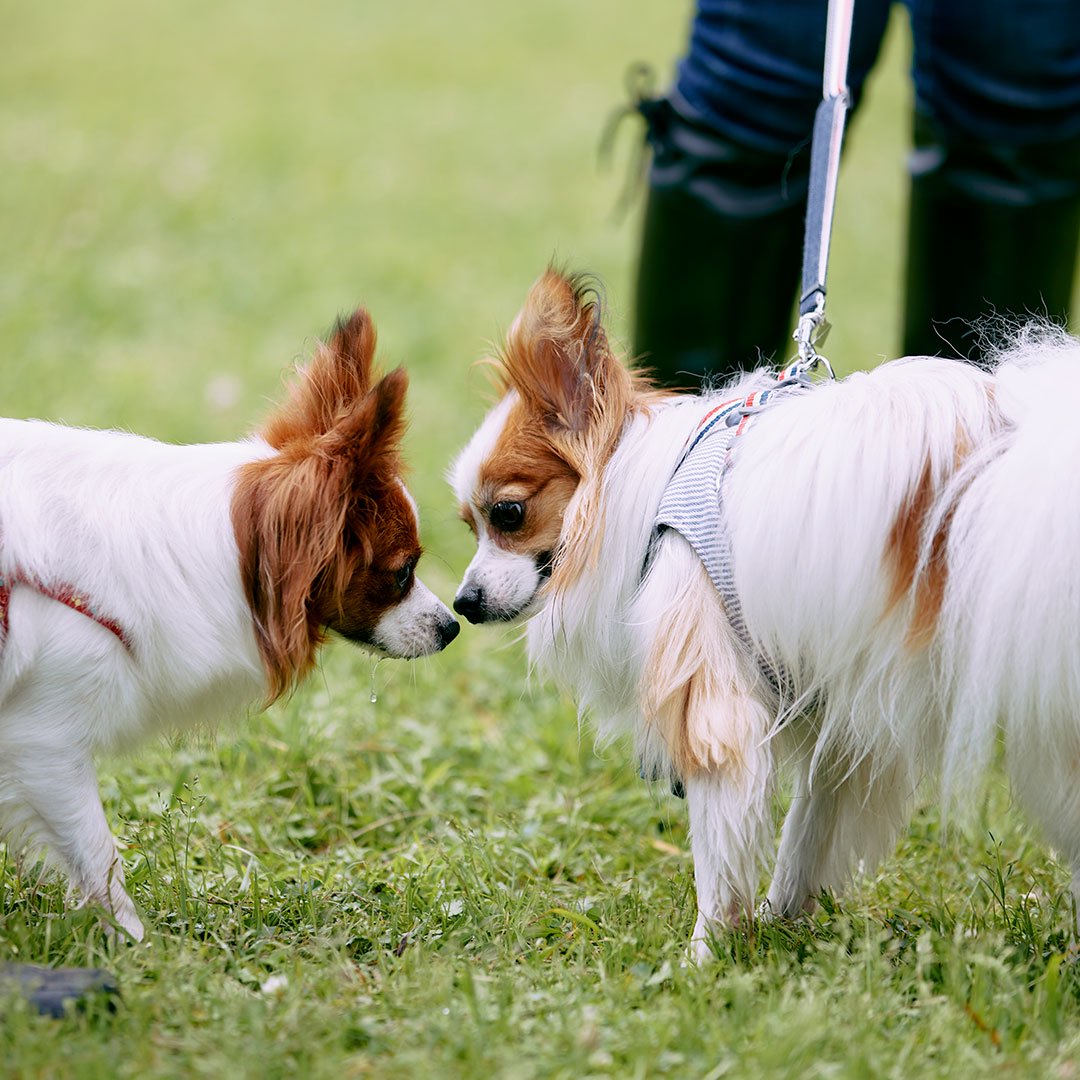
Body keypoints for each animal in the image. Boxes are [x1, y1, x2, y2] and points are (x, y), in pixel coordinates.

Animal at [451, 265, 1080, 959]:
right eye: (468, 527)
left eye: (508, 514)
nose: (462, 603)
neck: (642, 487)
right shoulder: (842, 704)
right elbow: (808, 830)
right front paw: (780, 921)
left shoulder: (713, 700)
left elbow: (721, 850)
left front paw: (706, 955)